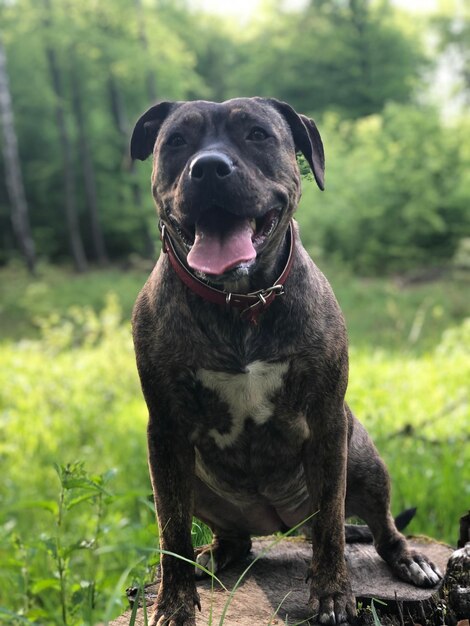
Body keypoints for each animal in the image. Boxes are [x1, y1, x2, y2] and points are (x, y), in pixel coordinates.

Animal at [129, 98, 440, 624]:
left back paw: (408, 559)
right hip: (194, 482)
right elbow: (171, 533)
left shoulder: (328, 422)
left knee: (376, 527)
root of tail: (282, 522)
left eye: (257, 134)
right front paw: (175, 604)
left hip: (364, 461)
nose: (208, 167)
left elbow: (333, 524)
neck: (241, 302)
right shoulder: (166, 434)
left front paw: (333, 594)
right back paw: (214, 555)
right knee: (232, 538)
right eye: (177, 141)